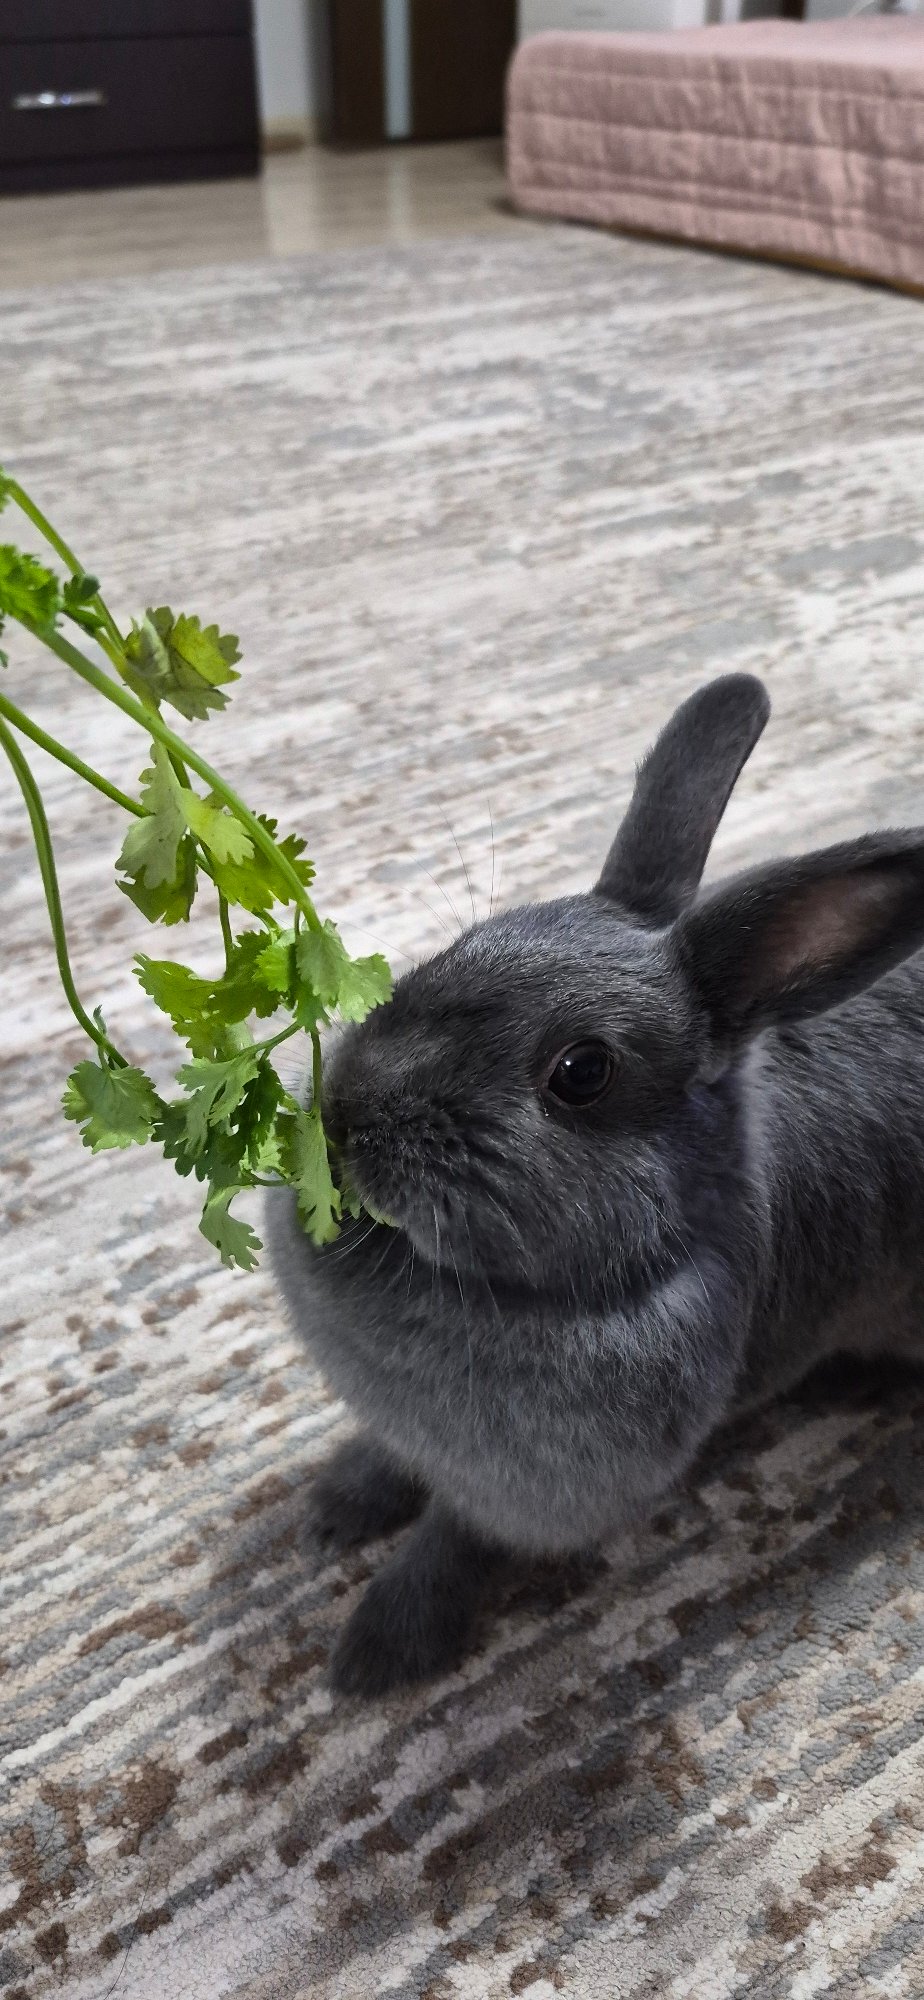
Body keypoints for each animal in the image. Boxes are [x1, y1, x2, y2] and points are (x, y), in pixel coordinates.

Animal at [267, 673, 924, 1697]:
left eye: (582, 1073)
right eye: (463, 942)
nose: (346, 1110)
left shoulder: (529, 1492)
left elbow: (454, 1540)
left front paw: (377, 1652)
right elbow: (394, 1464)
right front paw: (338, 1506)